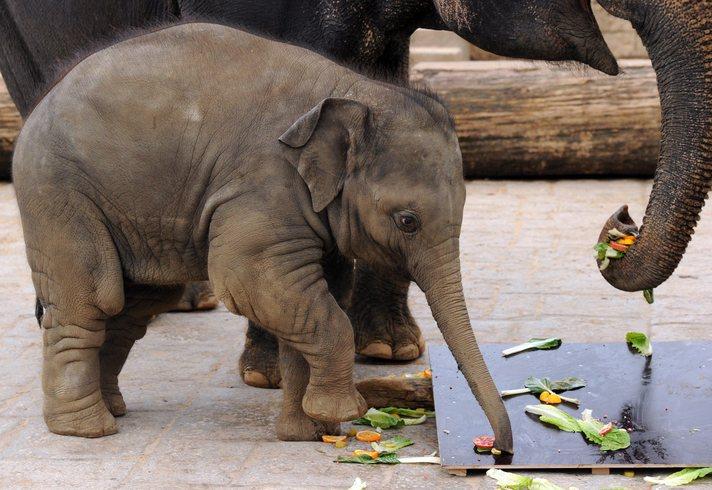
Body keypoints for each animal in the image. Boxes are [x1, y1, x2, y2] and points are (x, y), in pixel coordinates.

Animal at [12, 22, 512, 452]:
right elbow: (256, 283)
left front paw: (308, 433)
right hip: (58, 194)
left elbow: (317, 297)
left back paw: (114, 408)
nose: (496, 448)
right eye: (408, 221)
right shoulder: (264, 188)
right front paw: (342, 412)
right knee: (94, 299)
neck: (354, 91)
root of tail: (42, 101)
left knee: (136, 306)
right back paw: (86, 429)